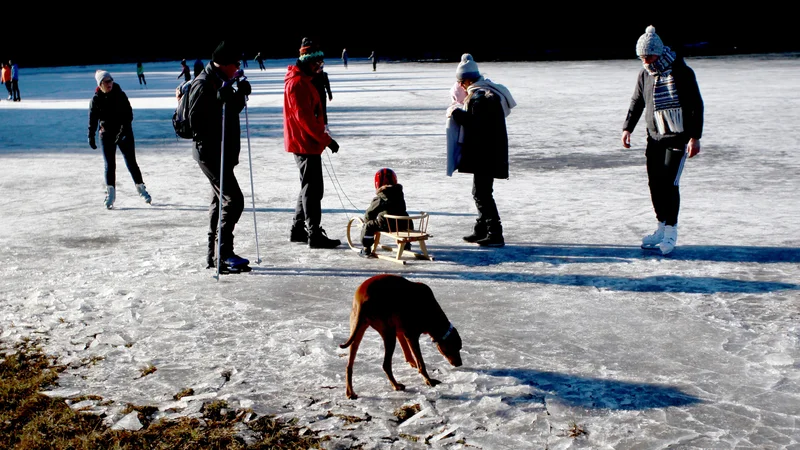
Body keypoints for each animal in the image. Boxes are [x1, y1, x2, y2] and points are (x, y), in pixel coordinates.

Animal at [340, 272, 462, 400]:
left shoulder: (401, 332)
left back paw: (350, 392)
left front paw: (413, 364)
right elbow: (421, 362)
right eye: (456, 348)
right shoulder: (411, 335)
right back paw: (396, 385)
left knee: (349, 366)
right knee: (386, 365)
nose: (460, 363)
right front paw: (428, 380)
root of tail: (363, 299)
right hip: (388, 334)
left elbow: (407, 352)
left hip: (357, 331)